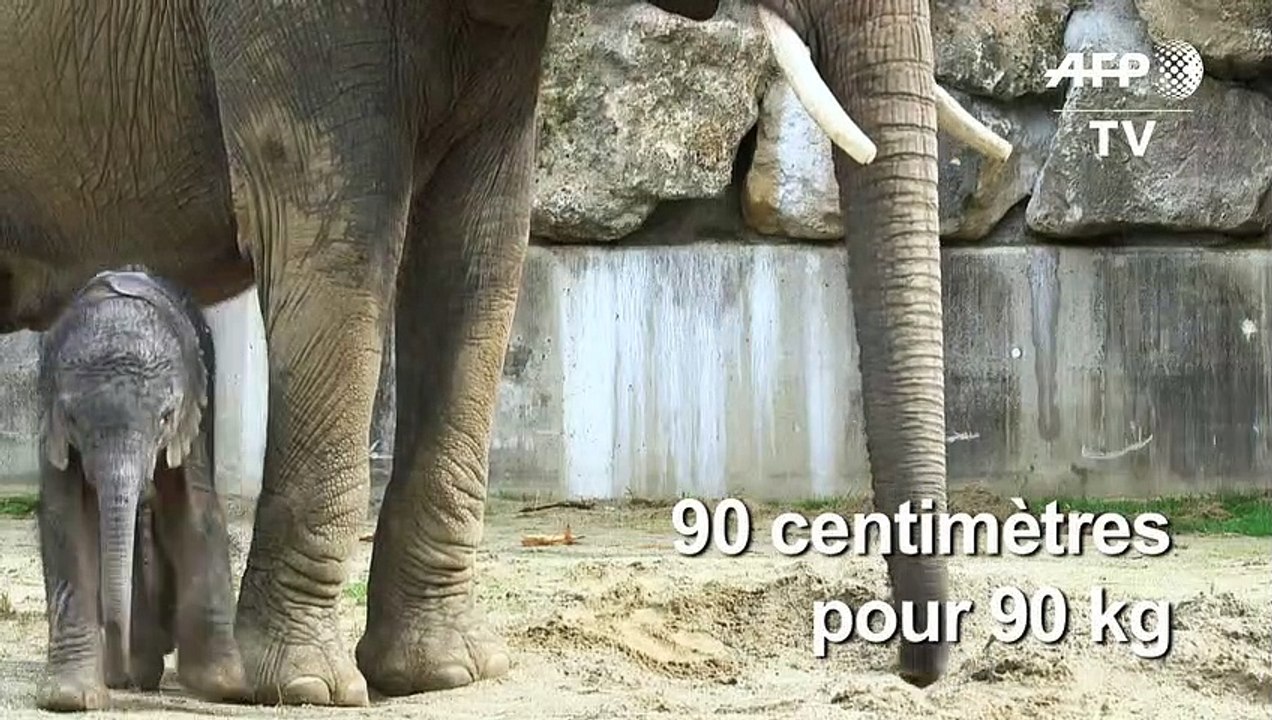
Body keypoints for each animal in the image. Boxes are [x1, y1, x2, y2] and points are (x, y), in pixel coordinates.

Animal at [35, 267, 248, 710]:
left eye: (165, 417)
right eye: (74, 420)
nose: (121, 678)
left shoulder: (192, 417)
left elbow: (194, 510)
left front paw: (225, 686)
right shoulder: (52, 425)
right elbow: (65, 520)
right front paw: (71, 697)